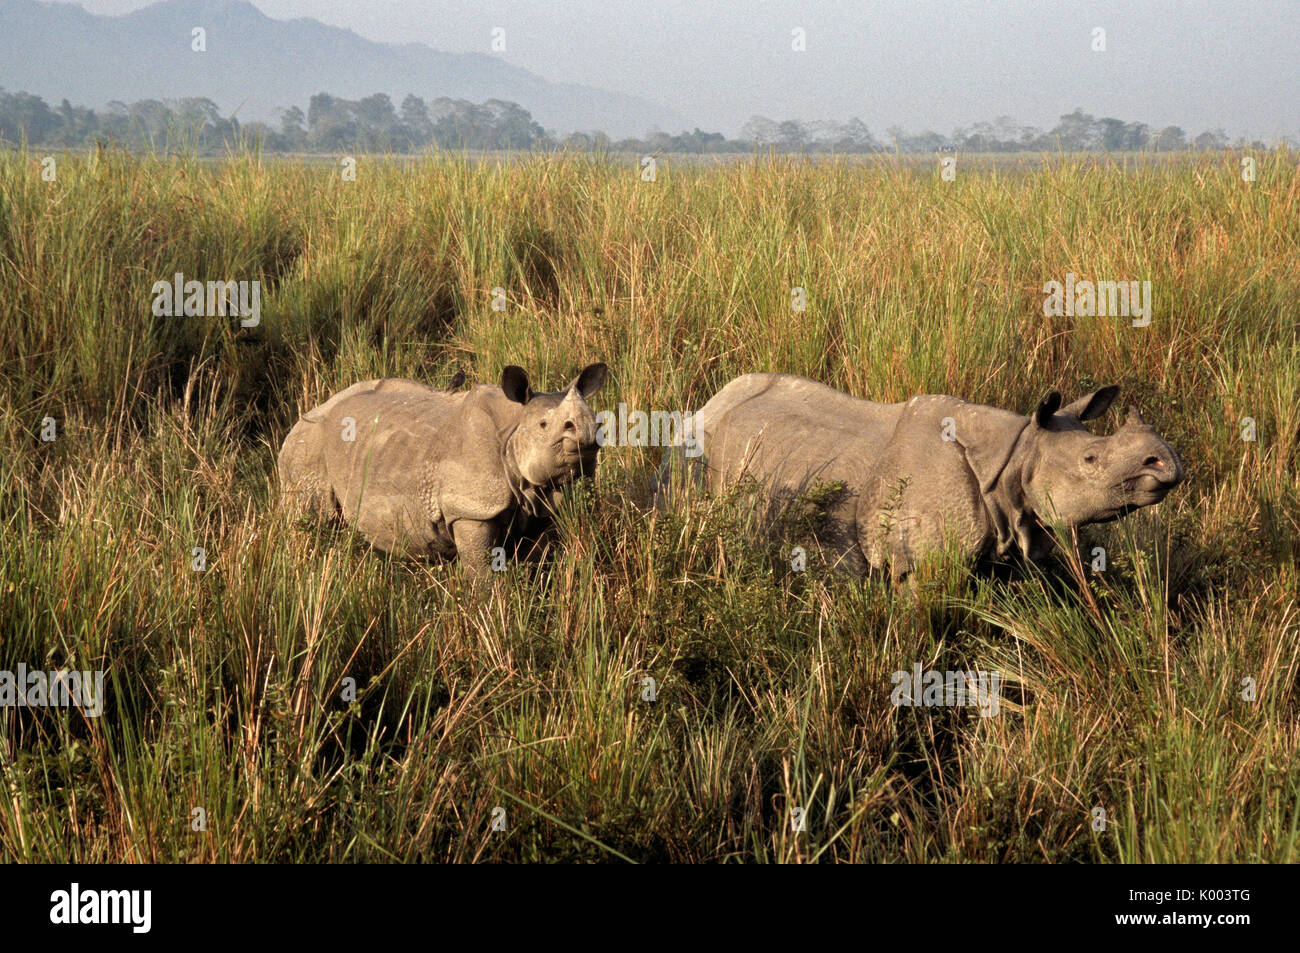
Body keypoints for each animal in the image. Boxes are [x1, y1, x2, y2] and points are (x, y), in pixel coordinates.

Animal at [279, 361, 608, 572]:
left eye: (597, 420)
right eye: (543, 425)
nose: (587, 434)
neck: (514, 431)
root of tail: (299, 421)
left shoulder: (540, 505)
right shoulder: (469, 508)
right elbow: (482, 572)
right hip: (307, 448)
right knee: (315, 522)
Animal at [665, 374, 1185, 577]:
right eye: (1091, 460)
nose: (1166, 462)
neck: (1018, 452)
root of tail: (710, 402)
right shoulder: (919, 563)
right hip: (688, 456)